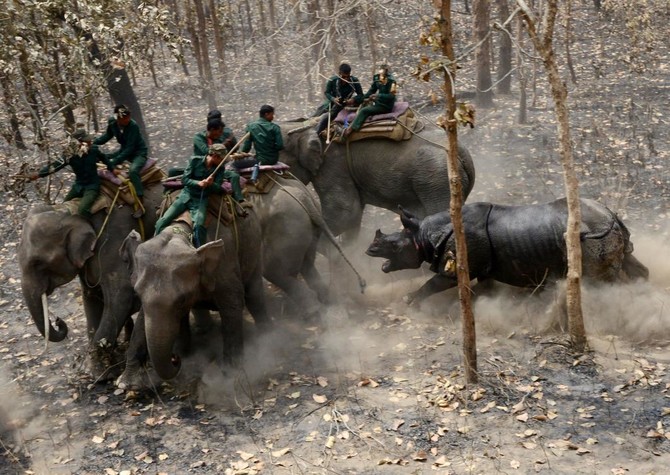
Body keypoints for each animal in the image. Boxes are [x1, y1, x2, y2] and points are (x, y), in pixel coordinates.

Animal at [366, 198, 649, 305]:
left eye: (394, 246)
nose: (370, 249)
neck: (424, 234)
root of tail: (611, 215)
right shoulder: (484, 266)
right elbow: (485, 288)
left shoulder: (458, 265)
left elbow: (435, 283)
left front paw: (409, 301)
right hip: (607, 231)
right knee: (630, 263)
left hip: (592, 238)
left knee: (600, 282)